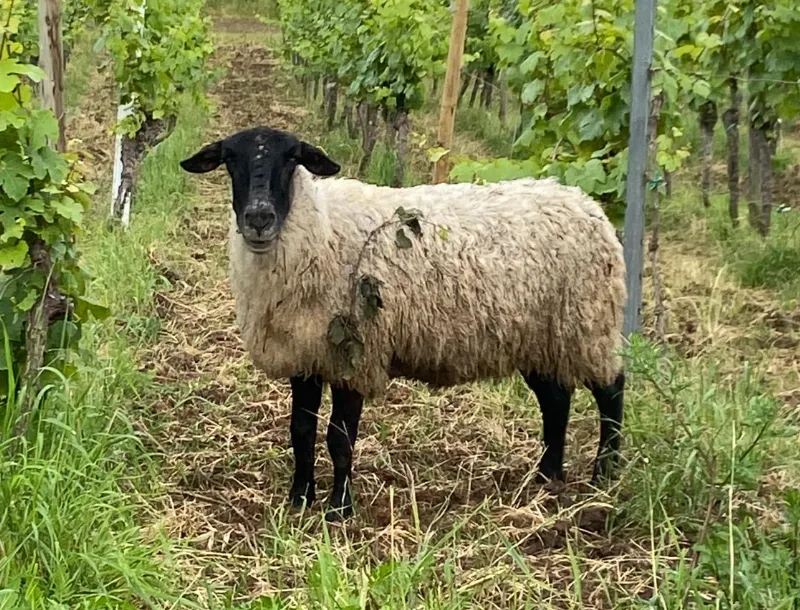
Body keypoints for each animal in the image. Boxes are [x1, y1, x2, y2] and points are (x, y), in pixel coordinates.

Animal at [180, 126, 626, 521]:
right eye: (229, 158)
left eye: (292, 158)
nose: (258, 218)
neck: (322, 228)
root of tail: (584, 202)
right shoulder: (306, 356)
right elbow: (301, 431)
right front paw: (299, 499)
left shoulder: (355, 356)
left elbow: (339, 439)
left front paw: (339, 511)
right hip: (541, 336)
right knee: (556, 400)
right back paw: (547, 477)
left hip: (588, 322)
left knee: (611, 390)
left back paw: (605, 474)